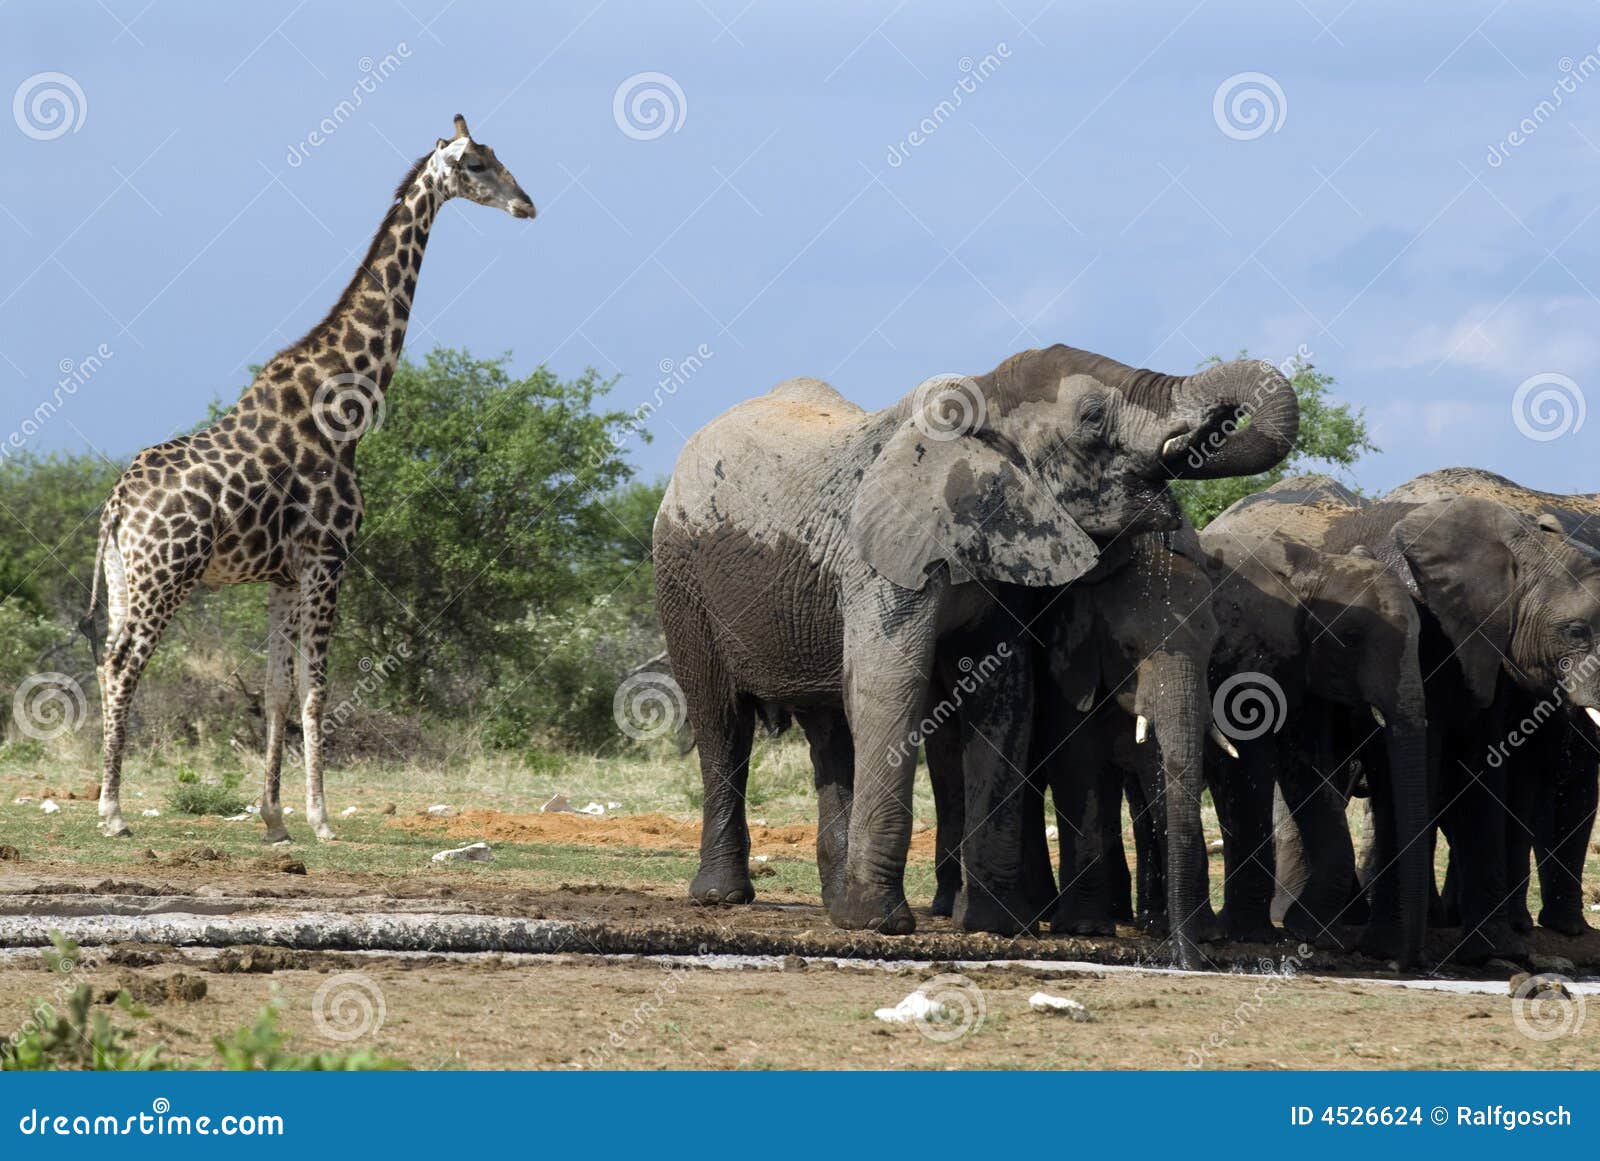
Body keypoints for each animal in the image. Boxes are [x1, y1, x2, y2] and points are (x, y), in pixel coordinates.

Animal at [89, 115, 537, 844]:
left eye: (498, 158)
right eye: (476, 164)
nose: (526, 204)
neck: (347, 406)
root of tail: (117, 506)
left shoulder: (283, 573)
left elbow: (275, 688)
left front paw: (274, 817)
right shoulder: (330, 556)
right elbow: (317, 689)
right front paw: (322, 818)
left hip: (126, 578)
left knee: (105, 661)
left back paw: (111, 799)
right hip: (167, 573)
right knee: (124, 666)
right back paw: (113, 811)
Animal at [656, 343, 1292, 946]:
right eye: (1091, 417)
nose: (1197, 434)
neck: (979, 399)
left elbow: (1003, 697)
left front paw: (995, 924)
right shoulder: (886, 553)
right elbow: (892, 686)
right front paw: (880, 924)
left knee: (829, 731)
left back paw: (835, 903)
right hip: (681, 579)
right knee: (721, 723)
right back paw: (723, 897)